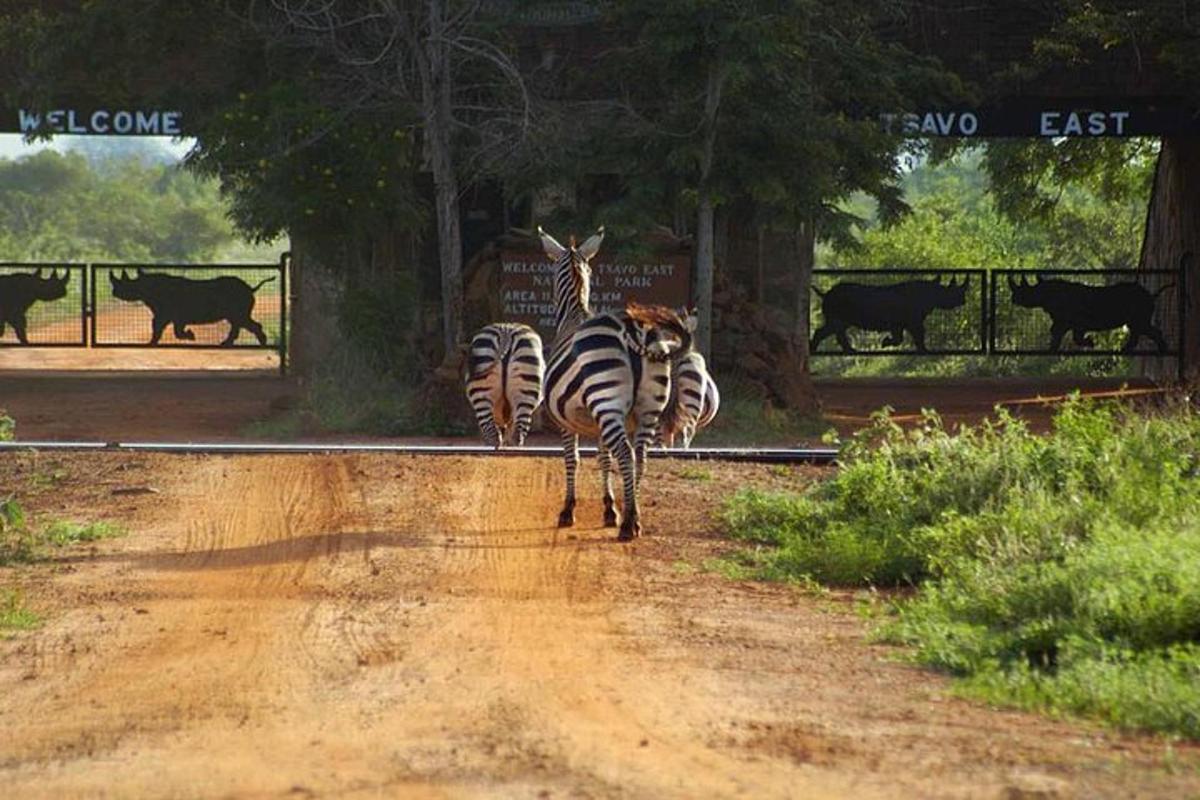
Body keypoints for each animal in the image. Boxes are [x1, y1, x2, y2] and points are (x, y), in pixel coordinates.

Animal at [537, 225, 696, 542]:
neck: (575, 313)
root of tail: (632, 330)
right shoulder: (601, 421)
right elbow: (604, 459)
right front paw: (611, 509)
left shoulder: (565, 420)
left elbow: (572, 459)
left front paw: (568, 511)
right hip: (646, 410)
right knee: (640, 457)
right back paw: (635, 516)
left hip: (607, 402)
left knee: (626, 453)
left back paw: (628, 524)